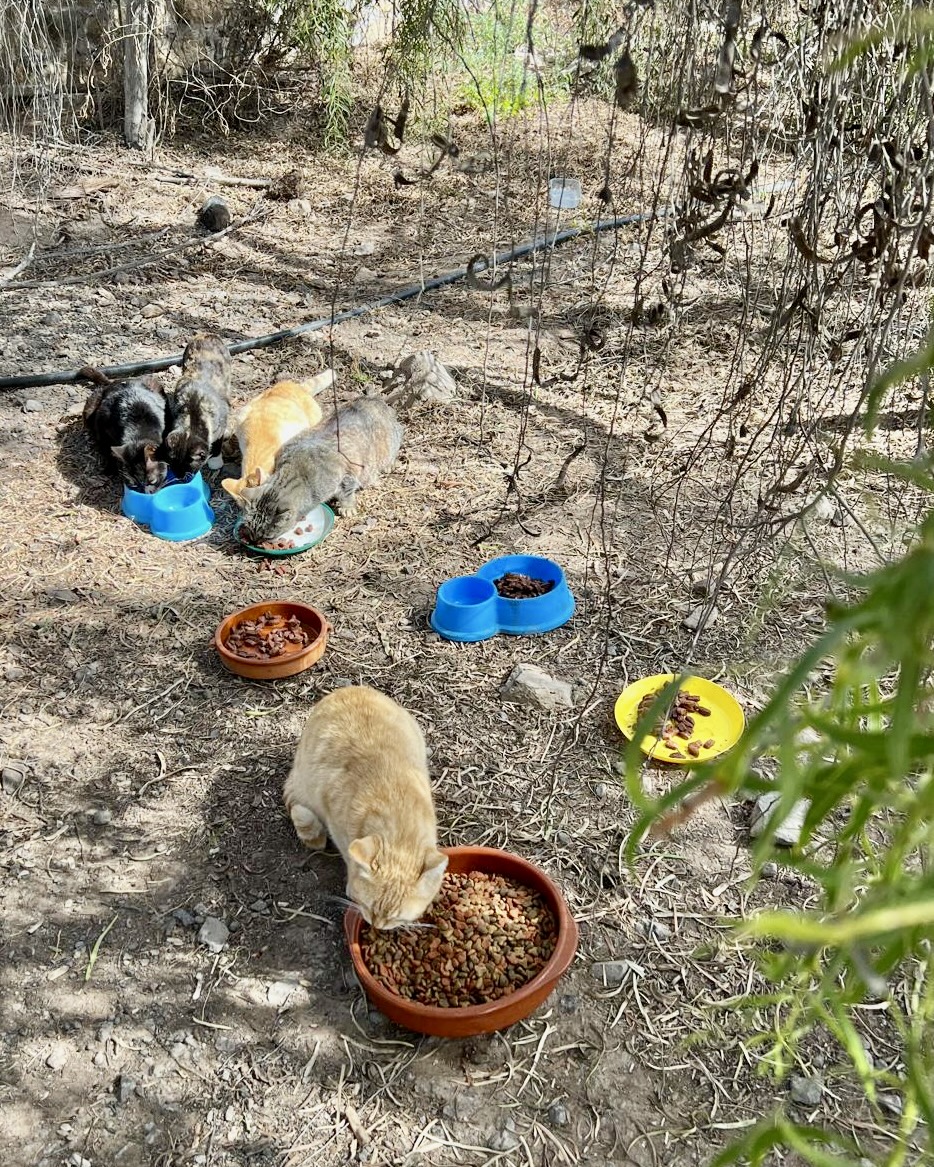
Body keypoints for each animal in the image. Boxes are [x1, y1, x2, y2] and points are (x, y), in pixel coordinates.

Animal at [164, 332, 232, 478]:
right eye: (173, 465)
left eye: (187, 467)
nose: (180, 476)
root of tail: (207, 334)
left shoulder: (221, 424)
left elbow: (217, 444)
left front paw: (216, 461)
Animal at [235, 395, 403, 544]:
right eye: (250, 530)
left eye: (266, 536)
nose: (254, 541)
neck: (297, 469)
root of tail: (374, 399)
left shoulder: (346, 476)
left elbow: (347, 493)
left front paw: (347, 507)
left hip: (390, 444)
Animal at [283, 685, 448, 930]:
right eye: (369, 906)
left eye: (397, 917)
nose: (377, 926)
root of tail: (349, 687)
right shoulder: (334, 820)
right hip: (304, 780)